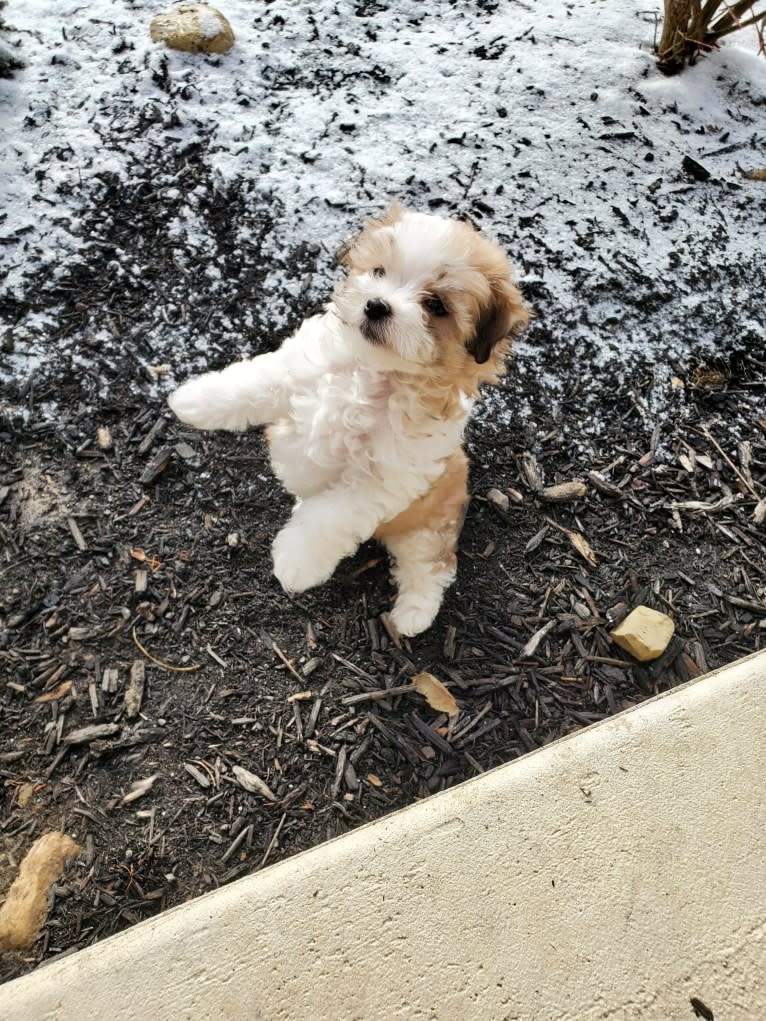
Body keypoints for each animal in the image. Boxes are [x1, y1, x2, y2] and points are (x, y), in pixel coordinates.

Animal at [168, 206, 531, 633]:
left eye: (436, 305)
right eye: (379, 271)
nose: (376, 305)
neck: (371, 372)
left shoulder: (381, 480)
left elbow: (330, 518)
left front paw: (297, 560)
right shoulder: (295, 370)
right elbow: (253, 382)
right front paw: (195, 400)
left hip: (429, 522)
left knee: (429, 565)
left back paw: (413, 614)